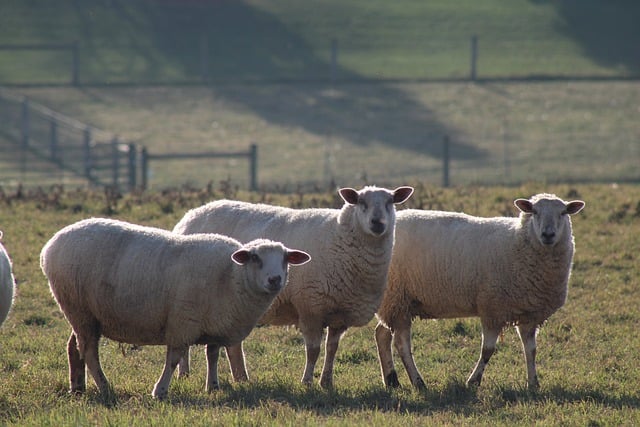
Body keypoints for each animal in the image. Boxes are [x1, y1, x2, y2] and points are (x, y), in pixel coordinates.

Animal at [40, 219, 310, 400]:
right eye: (255, 258)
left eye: (285, 259)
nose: (275, 280)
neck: (232, 276)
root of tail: (49, 247)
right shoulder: (182, 323)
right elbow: (173, 359)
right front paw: (159, 391)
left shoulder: (214, 322)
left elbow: (212, 355)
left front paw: (213, 386)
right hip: (79, 308)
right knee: (89, 351)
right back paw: (105, 387)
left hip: (82, 313)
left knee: (74, 347)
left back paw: (78, 388)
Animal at [175, 186, 416, 390]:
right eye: (361, 203)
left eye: (390, 202)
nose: (377, 223)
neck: (340, 239)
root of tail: (191, 214)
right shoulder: (311, 306)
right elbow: (313, 350)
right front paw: (307, 381)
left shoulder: (340, 313)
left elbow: (331, 349)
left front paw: (326, 382)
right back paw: (184, 374)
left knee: (232, 345)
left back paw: (241, 378)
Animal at [376, 194, 584, 392]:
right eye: (534, 212)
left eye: (563, 213)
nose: (548, 234)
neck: (518, 241)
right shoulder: (492, 308)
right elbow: (488, 350)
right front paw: (473, 381)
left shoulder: (529, 314)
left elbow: (531, 350)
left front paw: (533, 383)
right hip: (397, 297)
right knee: (401, 344)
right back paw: (418, 382)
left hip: (395, 302)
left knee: (382, 334)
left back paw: (392, 381)